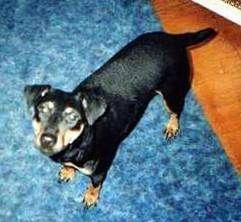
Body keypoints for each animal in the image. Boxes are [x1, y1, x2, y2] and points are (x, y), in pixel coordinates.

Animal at [24, 28, 217, 208]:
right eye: (42, 109)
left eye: (73, 117)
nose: (47, 139)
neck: (81, 139)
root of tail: (174, 38)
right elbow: (69, 165)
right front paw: (68, 171)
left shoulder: (100, 168)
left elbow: (95, 184)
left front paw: (91, 197)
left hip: (172, 91)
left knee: (176, 111)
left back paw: (172, 126)